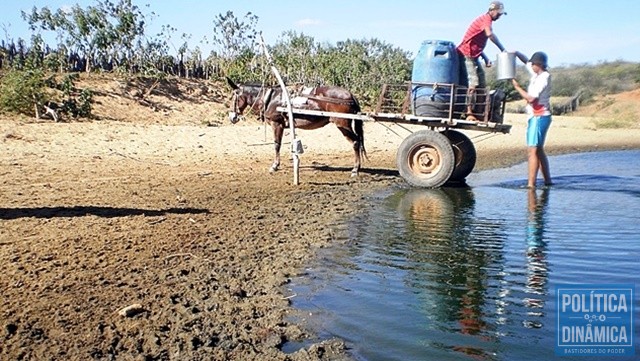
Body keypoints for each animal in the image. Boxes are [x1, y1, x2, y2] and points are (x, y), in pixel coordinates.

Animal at [226, 77, 368, 176]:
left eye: (233, 97)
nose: (232, 117)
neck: (270, 98)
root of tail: (350, 95)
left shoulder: (277, 124)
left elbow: (277, 145)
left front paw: (275, 166)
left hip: (342, 124)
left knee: (356, 142)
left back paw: (355, 169)